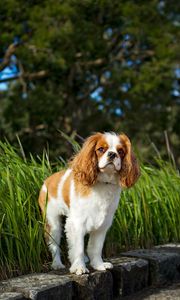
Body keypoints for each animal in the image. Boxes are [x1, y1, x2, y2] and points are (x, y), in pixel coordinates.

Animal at [38, 132, 140, 276]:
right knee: (54, 245)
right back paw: (57, 264)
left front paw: (99, 265)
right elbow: (79, 247)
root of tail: (47, 181)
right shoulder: (76, 223)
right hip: (53, 223)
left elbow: (96, 247)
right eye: (101, 149)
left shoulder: (103, 225)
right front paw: (79, 267)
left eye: (121, 151)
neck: (104, 183)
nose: (112, 154)